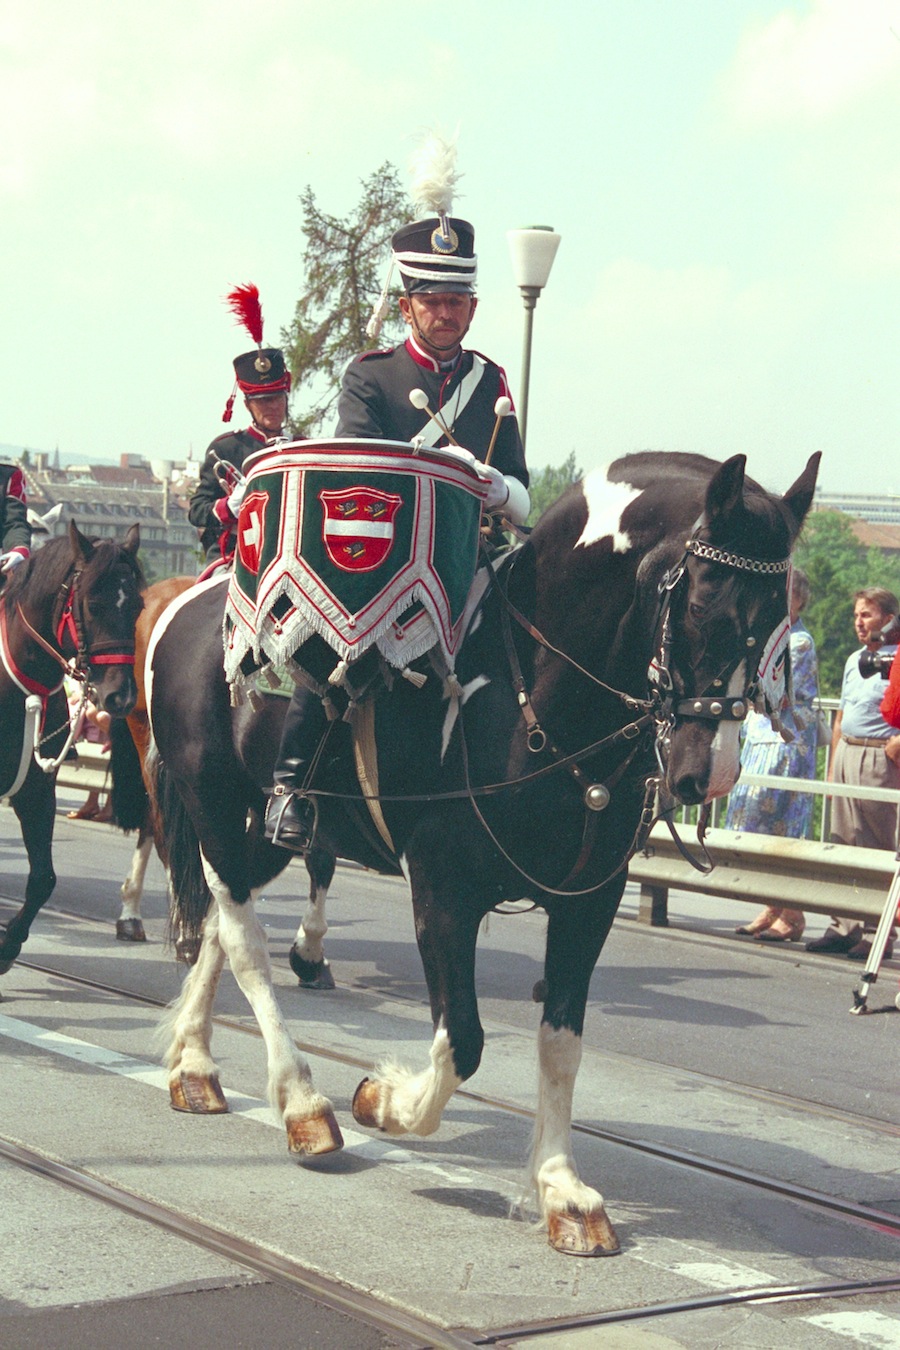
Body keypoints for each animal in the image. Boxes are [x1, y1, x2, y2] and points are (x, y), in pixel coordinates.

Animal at [0, 521, 143, 977]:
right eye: (93, 604)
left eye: (137, 605)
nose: (121, 697)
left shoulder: (36, 792)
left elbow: (43, 879)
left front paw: (8, 946)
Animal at [146, 453, 814, 1252]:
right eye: (703, 603)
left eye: (779, 617)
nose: (707, 774)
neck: (535, 697)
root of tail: (189, 599)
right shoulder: (442, 889)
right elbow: (461, 1039)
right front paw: (382, 1100)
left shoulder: (590, 900)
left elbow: (561, 1042)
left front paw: (562, 1191)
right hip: (213, 801)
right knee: (245, 940)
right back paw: (303, 1102)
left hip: (263, 830)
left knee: (224, 919)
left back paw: (195, 1064)